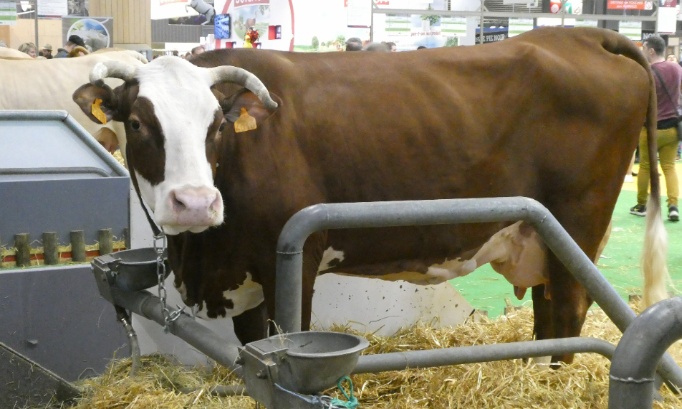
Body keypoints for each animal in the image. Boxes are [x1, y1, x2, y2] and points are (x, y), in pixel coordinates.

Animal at [72, 27, 668, 365]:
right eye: (138, 123)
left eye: (216, 124)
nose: (196, 202)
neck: (202, 254)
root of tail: (580, 34)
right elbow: (249, 348)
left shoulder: (290, 260)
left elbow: (284, 339)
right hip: (543, 236)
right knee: (548, 319)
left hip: (577, 226)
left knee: (566, 313)